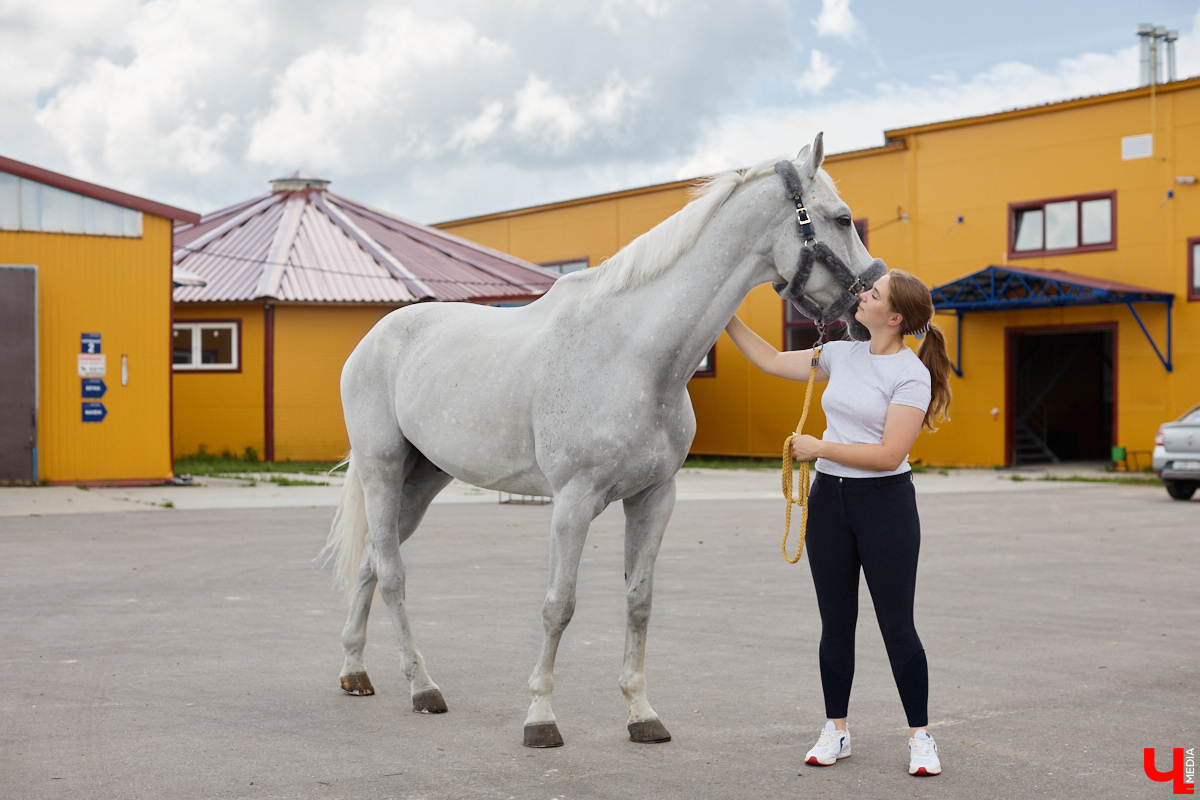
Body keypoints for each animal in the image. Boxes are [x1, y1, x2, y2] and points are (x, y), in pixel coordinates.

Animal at [321, 132, 882, 748]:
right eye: (843, 218)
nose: (871, 308)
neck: (633, 354)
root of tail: (373, 338)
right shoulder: (573, 501)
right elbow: (558, 606)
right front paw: (540, 718)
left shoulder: (654, 499)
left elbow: (639, 601)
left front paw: (641, 713)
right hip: (382, 468)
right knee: (392, 573)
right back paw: (422, 687)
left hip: (422, 480)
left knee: (373, 562)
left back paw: (354, 671)